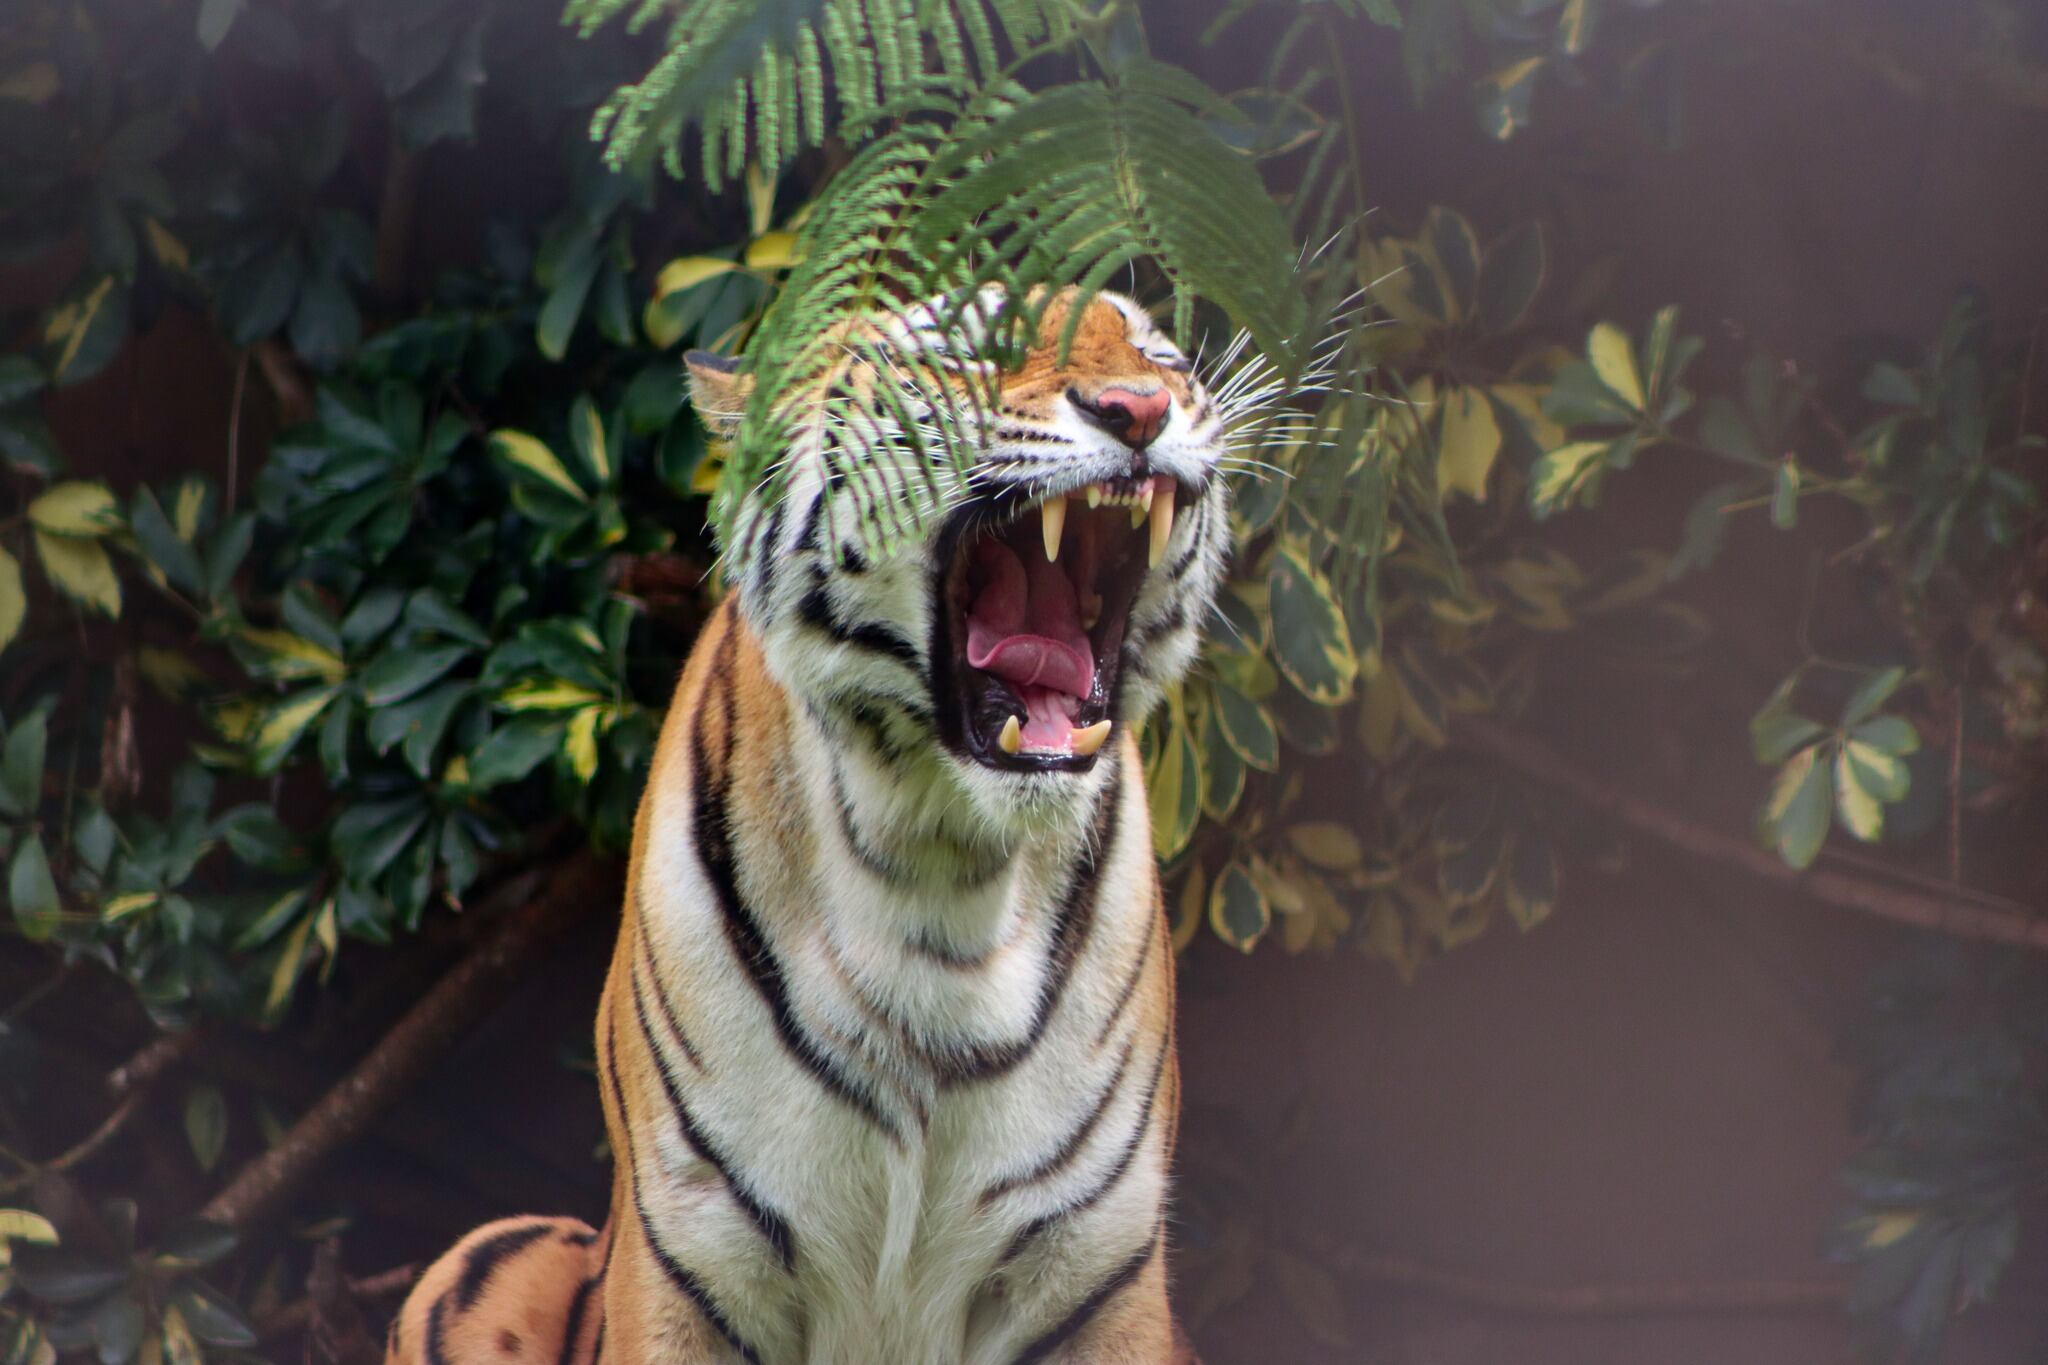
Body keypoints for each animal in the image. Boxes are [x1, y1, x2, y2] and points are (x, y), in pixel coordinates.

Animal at [391, 290, 1236, 1365]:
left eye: (1156, 353)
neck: (942, 869)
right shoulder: (692, 1253)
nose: (1140, 409)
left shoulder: (1097, 1264)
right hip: (481, 1256)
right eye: (980, 341)